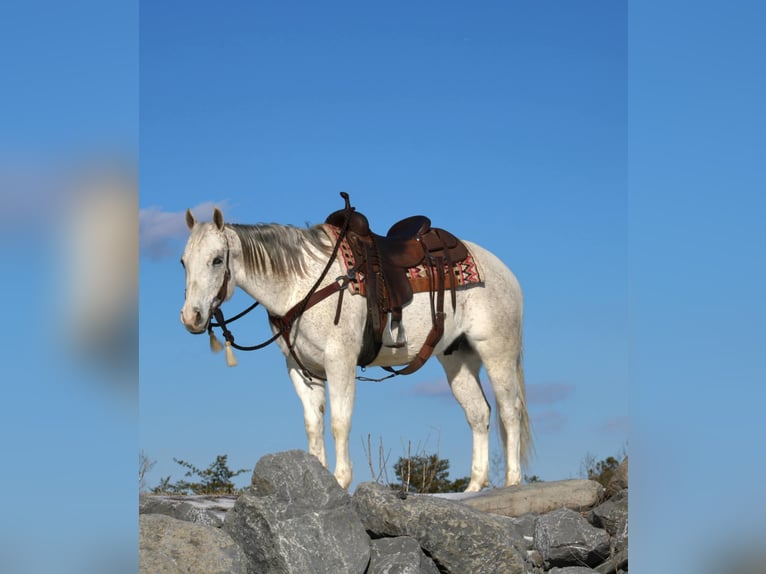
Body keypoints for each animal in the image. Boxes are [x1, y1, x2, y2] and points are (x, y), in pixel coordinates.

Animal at [179, 205, 532, 492]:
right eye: (183, 262)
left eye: (217, 260)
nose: (191, 316)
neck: (302, 284)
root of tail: (504, 272)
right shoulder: (301, 369)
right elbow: (313, 425)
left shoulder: (340, 360)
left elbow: (339, 421)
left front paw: (340, 480)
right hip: (456, 359)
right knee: (479, 413)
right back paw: (474, 486)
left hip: (497, 352)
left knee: (509, 411)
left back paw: (512, 482)